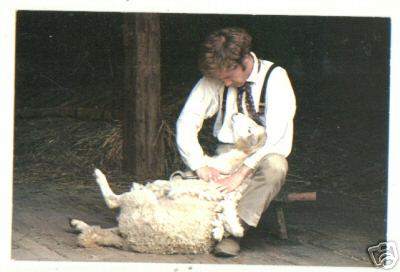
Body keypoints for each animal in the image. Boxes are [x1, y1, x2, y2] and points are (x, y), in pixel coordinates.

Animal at [70, 112, 268, 255]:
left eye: (249, 129)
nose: (236, 113)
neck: (238, 158)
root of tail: (132, 238)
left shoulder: (184, 183)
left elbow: (162, 184)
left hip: (139, 201)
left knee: (114, 203)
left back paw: (100, 177)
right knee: (103, 231)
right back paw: (77, 224)